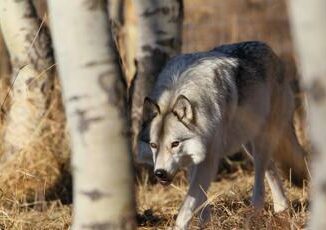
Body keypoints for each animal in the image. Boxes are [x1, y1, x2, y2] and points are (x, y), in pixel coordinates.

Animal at [137, 41, 308, 230]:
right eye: (153, 145)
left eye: (175, 144)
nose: (159, 173)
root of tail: (271, 50)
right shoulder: (194, 158)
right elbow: (199, 197)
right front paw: (206, 222)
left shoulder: (208, 158)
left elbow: (187, 207)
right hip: (248, 143)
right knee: (270, 169)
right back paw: (281, 208)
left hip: (260, 141)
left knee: (260, 181)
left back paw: (253, 217)